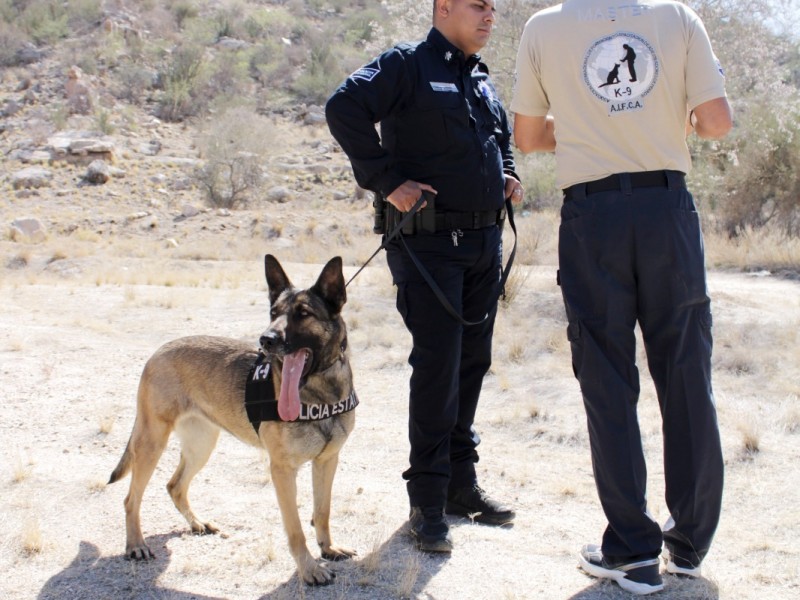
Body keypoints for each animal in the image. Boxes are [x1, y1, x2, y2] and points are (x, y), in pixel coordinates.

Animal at [108, 254, 356, 584]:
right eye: (273, 313)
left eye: (303, 313)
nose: (265, 339)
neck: (320, 391)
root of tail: (158, 351)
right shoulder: (282, 470)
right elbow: (295, 530)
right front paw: (309, 569)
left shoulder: (327, 461)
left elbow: (323, 511)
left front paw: (328, 548)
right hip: (152, 442)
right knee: (131, 499)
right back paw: (136, 544)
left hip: (201, 445)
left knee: (175, 485)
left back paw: (197, 523)